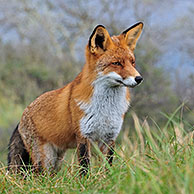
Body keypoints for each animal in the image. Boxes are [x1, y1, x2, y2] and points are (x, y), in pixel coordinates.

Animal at [7, 22, 143, 175]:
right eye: (117, 63)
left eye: (132, 62)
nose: (139, 78)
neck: (105, 109)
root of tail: (22, 116)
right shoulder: (83, 136)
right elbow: (85, 167)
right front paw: (87, 180)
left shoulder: (109, 137)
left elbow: (107, 167)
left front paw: (107, 178)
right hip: (45, 160)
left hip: (57, 160)